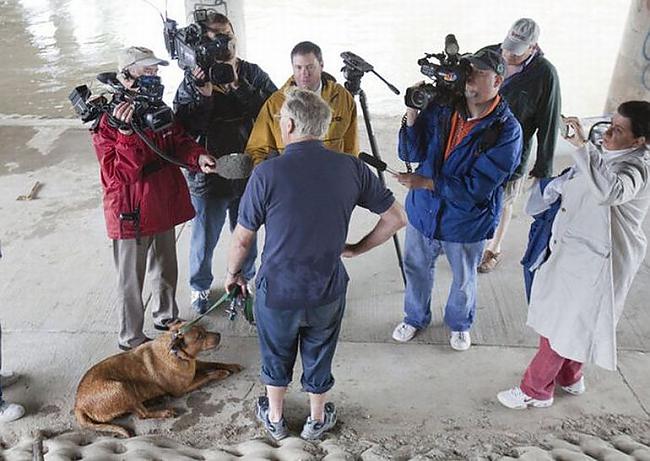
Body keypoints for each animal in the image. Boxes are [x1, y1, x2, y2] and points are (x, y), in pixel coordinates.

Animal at [74, 322, 240, 436]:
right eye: (199, 337)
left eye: (204, 330)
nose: (219, 335)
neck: (177, 354)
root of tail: (78, 405)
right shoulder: (182, 389)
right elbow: (207, 374)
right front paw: (221, 373)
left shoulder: (195, 363)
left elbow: (213, 362)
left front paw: (231, 366)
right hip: (121, 387)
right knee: (142, 414)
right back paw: (164, 412)